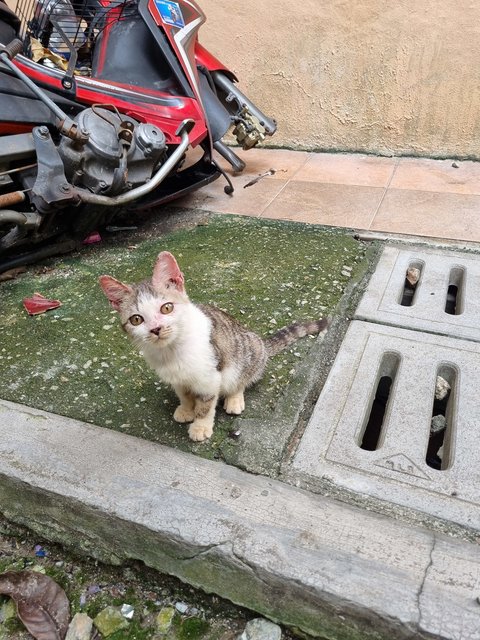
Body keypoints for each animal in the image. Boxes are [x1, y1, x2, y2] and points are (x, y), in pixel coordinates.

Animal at [99, 250, 328, 440]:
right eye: (136, 320)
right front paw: (186, 408)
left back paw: (235, 398)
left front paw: (200, 426)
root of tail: (260, 341)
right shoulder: (176, 378)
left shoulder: (209, 376)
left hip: (248, 349)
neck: (172, 351)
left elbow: (206, 404)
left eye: (166, 308)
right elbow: (184, 394)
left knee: (242, 378)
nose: (155, 329)